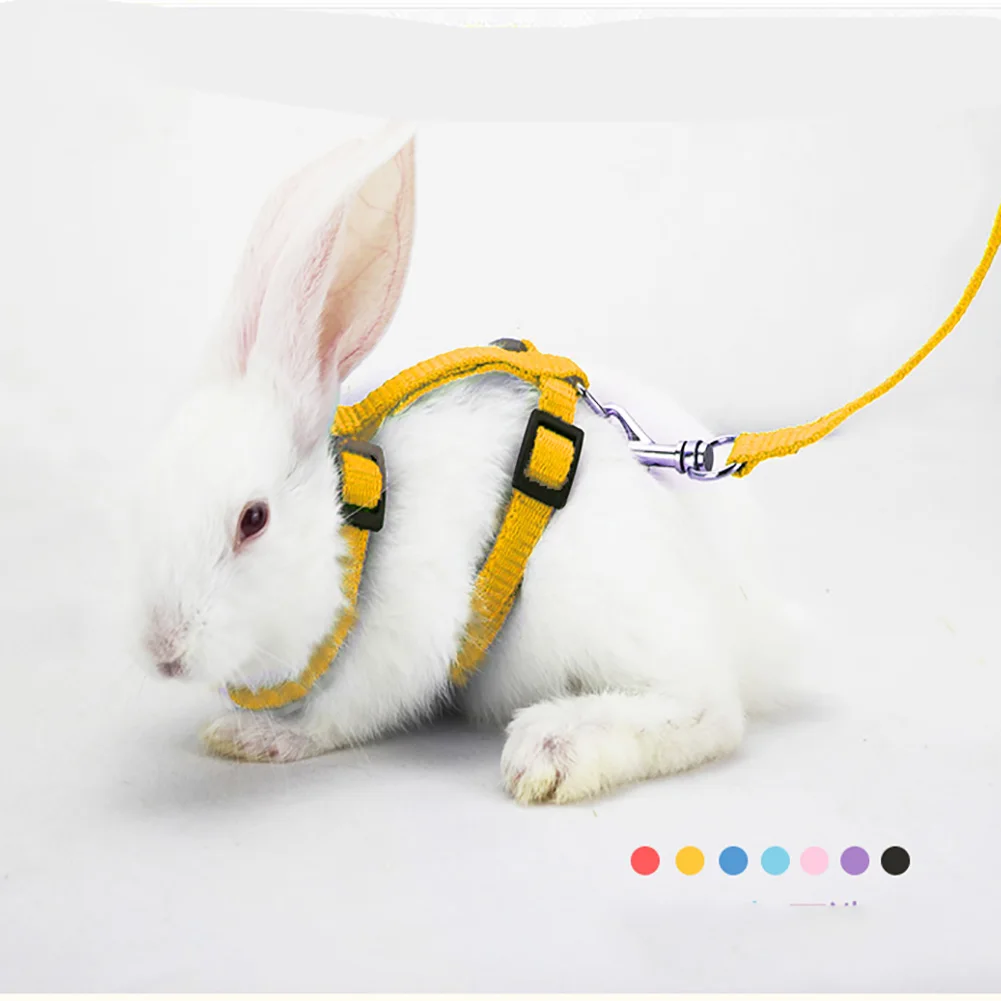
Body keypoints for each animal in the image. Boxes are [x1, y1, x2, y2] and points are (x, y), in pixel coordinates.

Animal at [130, 121, 802, 805]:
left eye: (254, 520)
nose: (163, 652)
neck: (360, 526)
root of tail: (767, 633)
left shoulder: (402, 639)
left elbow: (339, 714)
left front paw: (255, 738)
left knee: (709, 710)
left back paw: (550, 749)